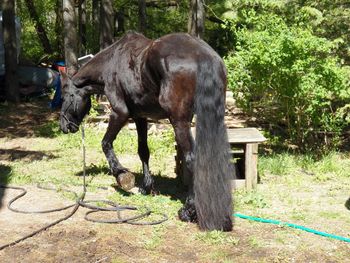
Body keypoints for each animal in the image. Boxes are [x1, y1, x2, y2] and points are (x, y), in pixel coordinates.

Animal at [59, 32, 234, 232]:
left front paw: (121, 175)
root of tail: (203, 56)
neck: (111, 61)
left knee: (192, 159)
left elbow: (105, 143)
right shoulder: (140, 117)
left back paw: (189, 210)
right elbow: (143, 151)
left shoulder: (120, 113)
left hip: (179, 122)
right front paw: (146, 187)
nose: (64, 126)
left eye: (64, 97)